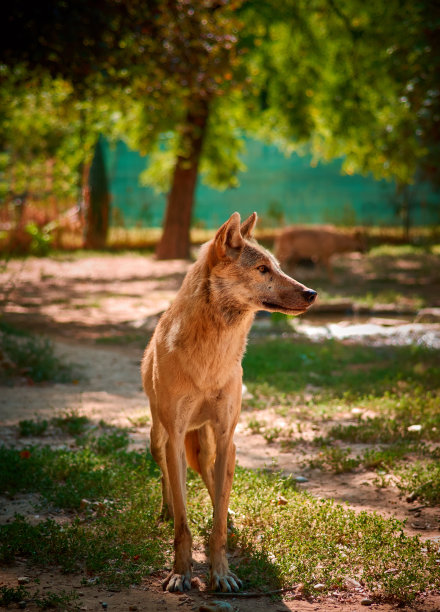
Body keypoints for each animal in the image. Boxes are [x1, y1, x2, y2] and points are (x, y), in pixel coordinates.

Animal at [141, 212, 316, 592]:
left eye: (278, 267)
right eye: (263, 269)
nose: (312, 293)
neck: (211, 358)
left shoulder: (225, 437)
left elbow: (218, 521)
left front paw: (221, 573)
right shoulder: (176, 438)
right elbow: (183, 523)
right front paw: (180, 573)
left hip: (213, 446)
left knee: (213, 483)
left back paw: (227, 514)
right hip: (160, 440)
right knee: (167, 480)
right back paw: (166, 511)